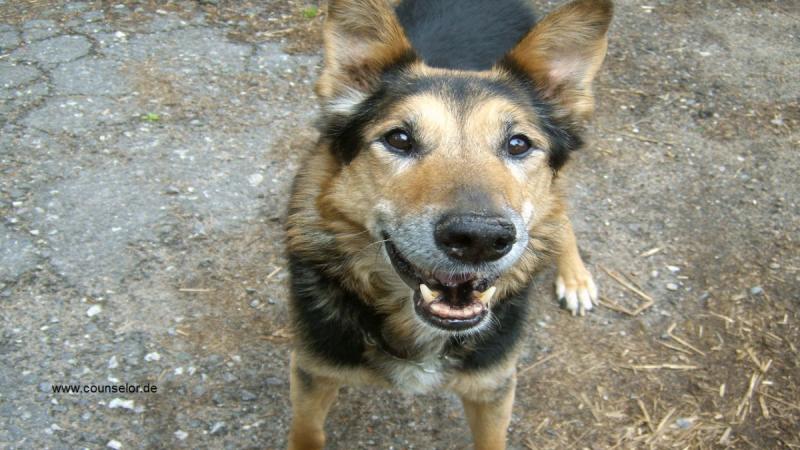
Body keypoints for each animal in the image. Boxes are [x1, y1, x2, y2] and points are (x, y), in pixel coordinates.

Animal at [286, 0, 612, 446]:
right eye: (399, 139)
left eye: (518, 144)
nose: (479, 238)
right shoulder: (312, 371)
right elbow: (306, 431)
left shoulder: (493, 385)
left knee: (561, 215)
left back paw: (575, 277)